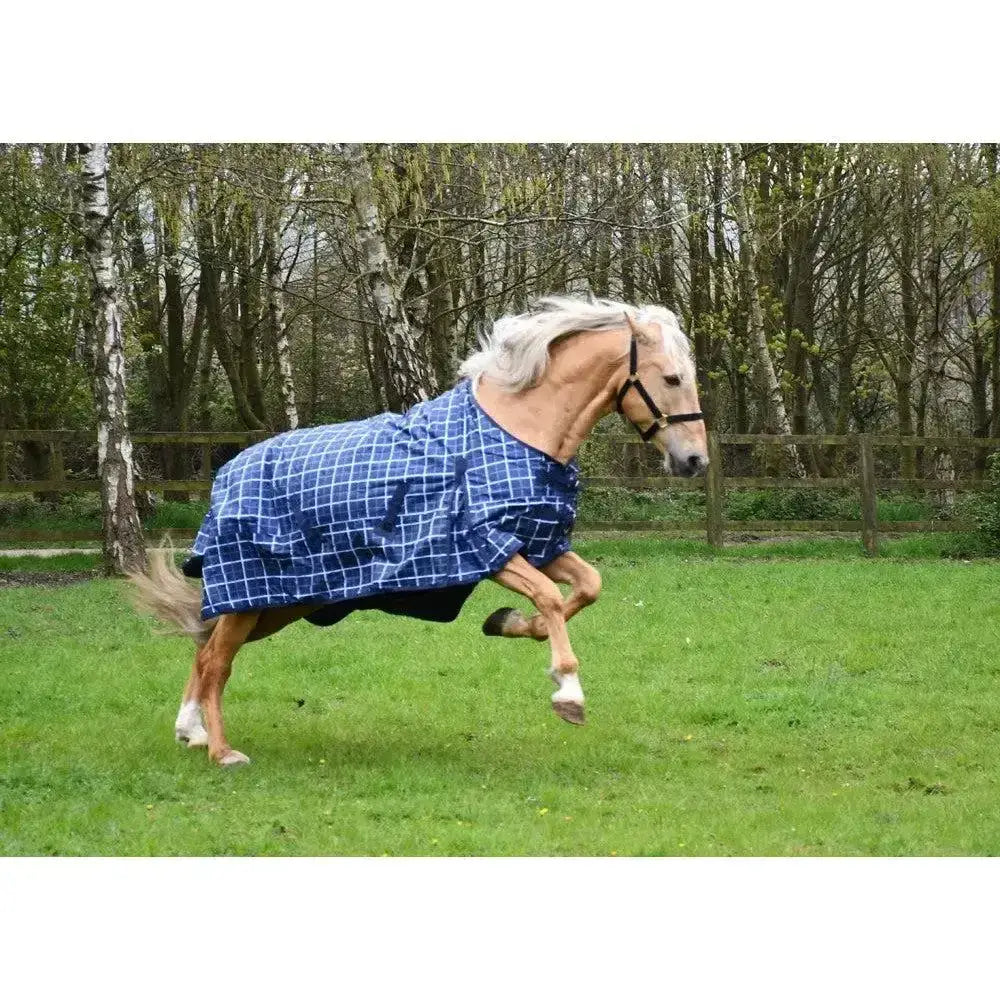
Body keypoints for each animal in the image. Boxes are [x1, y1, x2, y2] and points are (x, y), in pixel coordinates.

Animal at [130, 296, 708, 766]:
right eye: (672, 379)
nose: (695, 460)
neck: (521, 432)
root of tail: (228, 473)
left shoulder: (540, 543)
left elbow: (587, 587)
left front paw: (506, 624)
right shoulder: (488, 547)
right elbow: (549, 596)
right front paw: (567, 692)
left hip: (280, 602)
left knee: (205, 649)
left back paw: (191, 733)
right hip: (255, 595)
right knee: (215, 661)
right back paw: (221, 751)